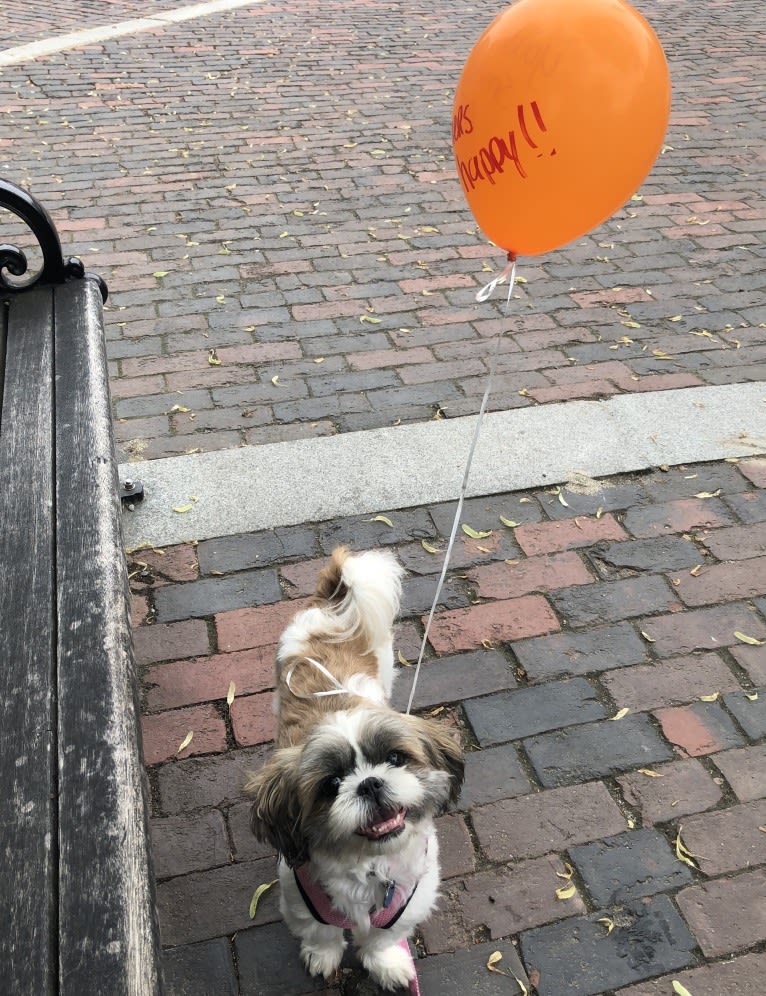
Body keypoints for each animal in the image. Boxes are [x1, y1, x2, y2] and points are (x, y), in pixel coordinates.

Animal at [246, 548, 464, 992]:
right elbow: (322, 931)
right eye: (331, 785)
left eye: (395, 759)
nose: (370, 783)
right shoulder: (300, 893)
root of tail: (331, 606)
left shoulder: (409, 899)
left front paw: (387, 963)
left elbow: (383, 937)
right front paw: (322, 956)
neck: (369, 866)